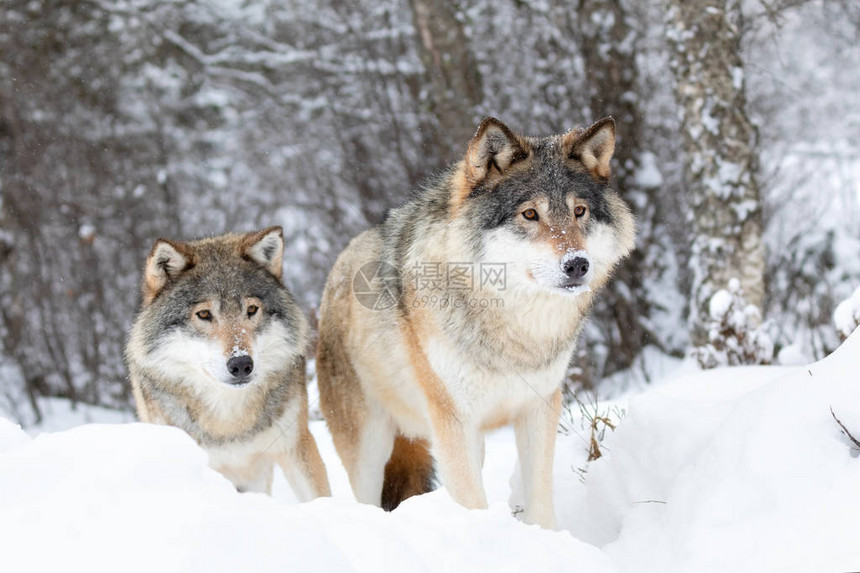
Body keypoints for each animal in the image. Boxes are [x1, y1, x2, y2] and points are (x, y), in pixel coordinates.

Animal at [316, 116, 632, 528]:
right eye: (530, 214)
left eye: (579, 211)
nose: (577, 264)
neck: (513, 329)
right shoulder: (454, 421)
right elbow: (471, 501)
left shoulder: (539, 409)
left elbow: (540, 500)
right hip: (371, 446)